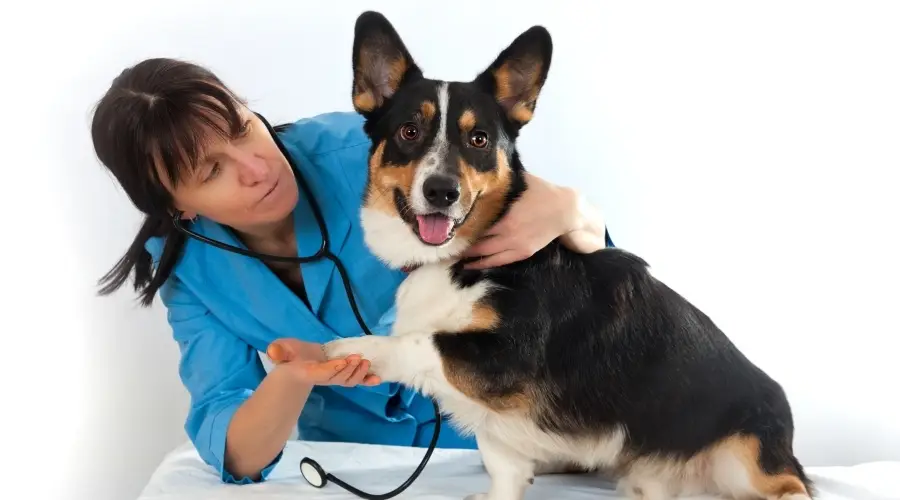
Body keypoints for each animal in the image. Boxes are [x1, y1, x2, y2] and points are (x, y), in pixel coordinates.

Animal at [326, 11, 816, 500]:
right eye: (409, 132)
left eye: (479, 139)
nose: (442, 192)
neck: (455, 258)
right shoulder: (498, 419)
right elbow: (501, 464)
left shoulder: (507, 358)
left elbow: (417, 342)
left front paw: (349, 349)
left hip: (746, 455)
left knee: (792, 486)